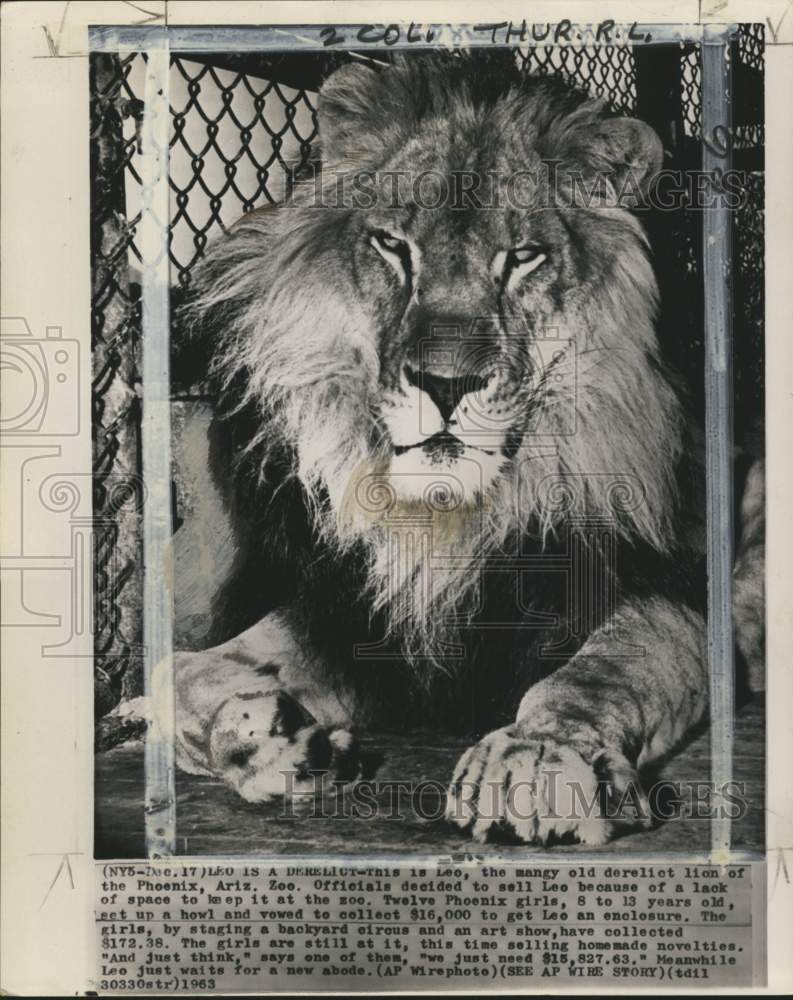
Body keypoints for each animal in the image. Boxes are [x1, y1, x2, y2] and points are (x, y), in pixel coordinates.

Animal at [170, 52, 764, 845]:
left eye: (523, 257)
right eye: (393, 245)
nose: (446, 384)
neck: (439, 517)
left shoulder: (664, 584)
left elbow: (596, 672)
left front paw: (537, 760)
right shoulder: (345, 608)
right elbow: (181, 672)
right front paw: (279, 745)